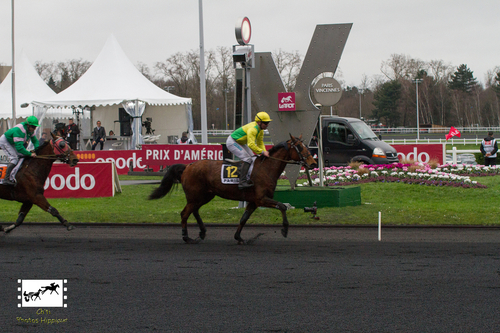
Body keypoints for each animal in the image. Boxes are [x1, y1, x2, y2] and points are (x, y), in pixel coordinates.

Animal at [148, 133, 316, 244]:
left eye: (306, 145)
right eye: (299, 147)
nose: (313, 163)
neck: (266, 168)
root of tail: (188, 166)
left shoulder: (253, 201)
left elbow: (244, 218)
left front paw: (239, 237)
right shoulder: (261, 199)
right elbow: (282, 206)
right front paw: (285, 229)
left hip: (205, 196)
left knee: (194, 211)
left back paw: (202, 232)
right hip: (195, 196)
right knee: (184, 213)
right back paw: (186, 236)